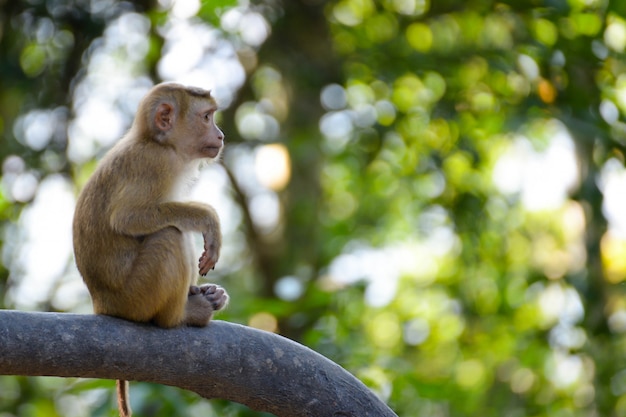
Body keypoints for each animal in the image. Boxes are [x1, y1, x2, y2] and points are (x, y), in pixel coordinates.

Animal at [72, 82, 229, 416]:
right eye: (206, 117)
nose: (221, 135)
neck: (156, 141)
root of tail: (102, 305)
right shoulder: (155, 163)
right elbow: (127, 218)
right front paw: (208, 219)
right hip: (136, 298)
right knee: (169, 234)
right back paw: (184, 314)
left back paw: (205, 296)